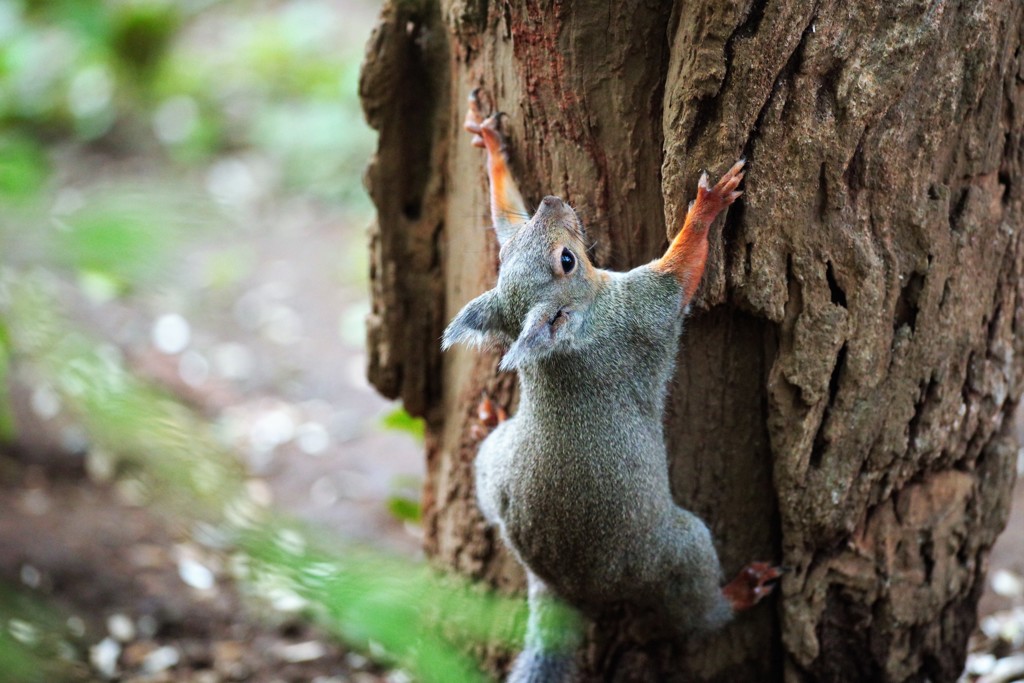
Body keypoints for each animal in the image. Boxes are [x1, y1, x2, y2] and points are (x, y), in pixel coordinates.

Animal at [444, 88, 778, 679]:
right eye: (568, 260)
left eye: (505, 256)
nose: (553, 200)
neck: (570, 340)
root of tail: (562, 586)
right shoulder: (643, 311)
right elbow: (680, 273)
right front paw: (706, 208)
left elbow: (505, 210)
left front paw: (490, 143)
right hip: (674, 551)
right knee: (696, 614)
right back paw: (739, 593)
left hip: (493, 473)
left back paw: (493, 418)